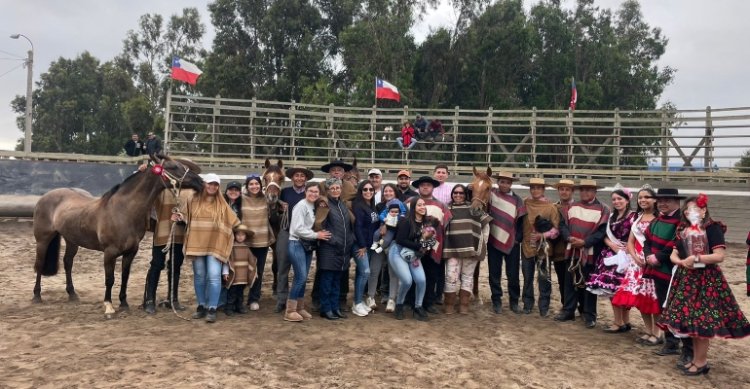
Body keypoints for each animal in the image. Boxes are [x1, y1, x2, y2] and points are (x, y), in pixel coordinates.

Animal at [32, 153, 204, 316]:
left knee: (68, 262)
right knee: (40, 264)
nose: (200, 182)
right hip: (43, 240)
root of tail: (44, 197)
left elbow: (125, 277)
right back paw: (37, 296)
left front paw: (124, 303)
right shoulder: (110, 253)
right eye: (174, 167)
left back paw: (72, 294)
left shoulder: (131, 252)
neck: (123, 211)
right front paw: (109, 306)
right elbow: (110, 279)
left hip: (72, 240)